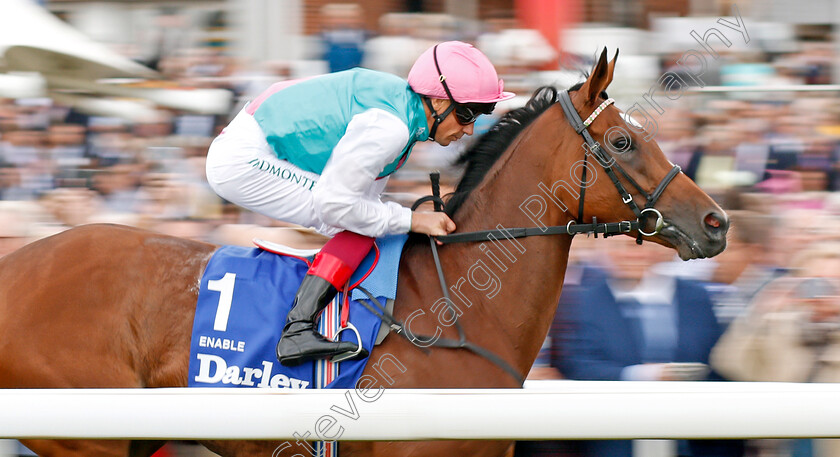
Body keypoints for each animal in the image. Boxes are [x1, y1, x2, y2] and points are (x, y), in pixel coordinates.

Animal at [0, 48, 724, 454]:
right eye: (624, 142)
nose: (716, 222)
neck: (456, 311)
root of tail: (17, 264)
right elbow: (349, 200)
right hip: (84, 433)